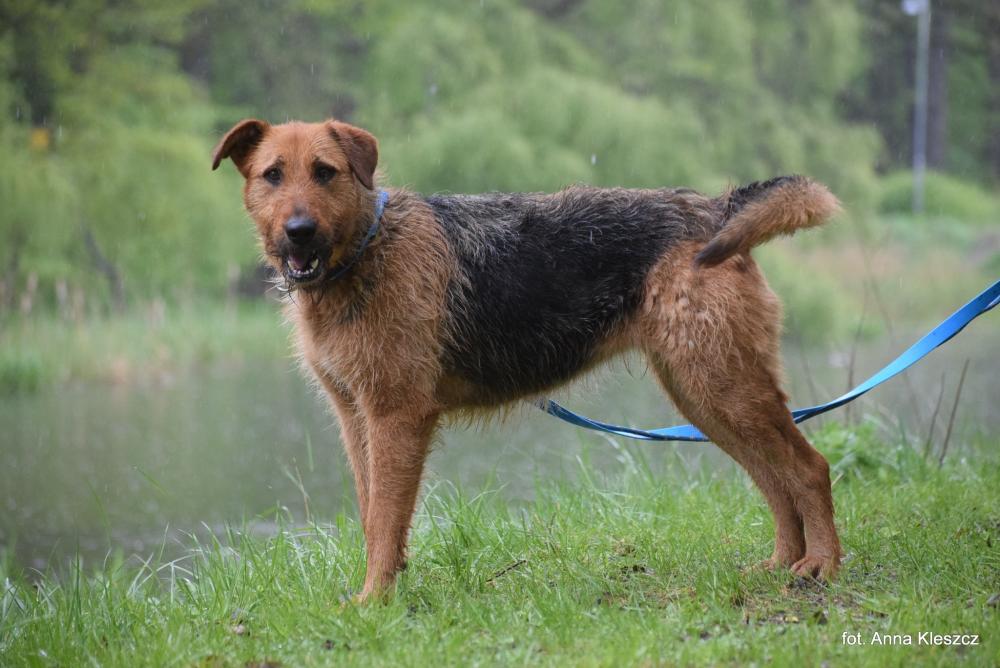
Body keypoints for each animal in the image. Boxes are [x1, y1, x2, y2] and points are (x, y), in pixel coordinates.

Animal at [212, 118, 843, 601]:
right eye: (273, 174)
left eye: (326, 171)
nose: (299, 231)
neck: (367, 250)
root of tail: (714, 208)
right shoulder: (356, 417)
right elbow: (374, 519)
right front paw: (383, 592)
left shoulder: (396, 417)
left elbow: (387, 520)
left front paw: (374, 602)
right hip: (706, 397)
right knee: (775, 479)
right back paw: (782, 564)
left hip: (723, 388)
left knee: (809, 468)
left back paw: (822, 566)